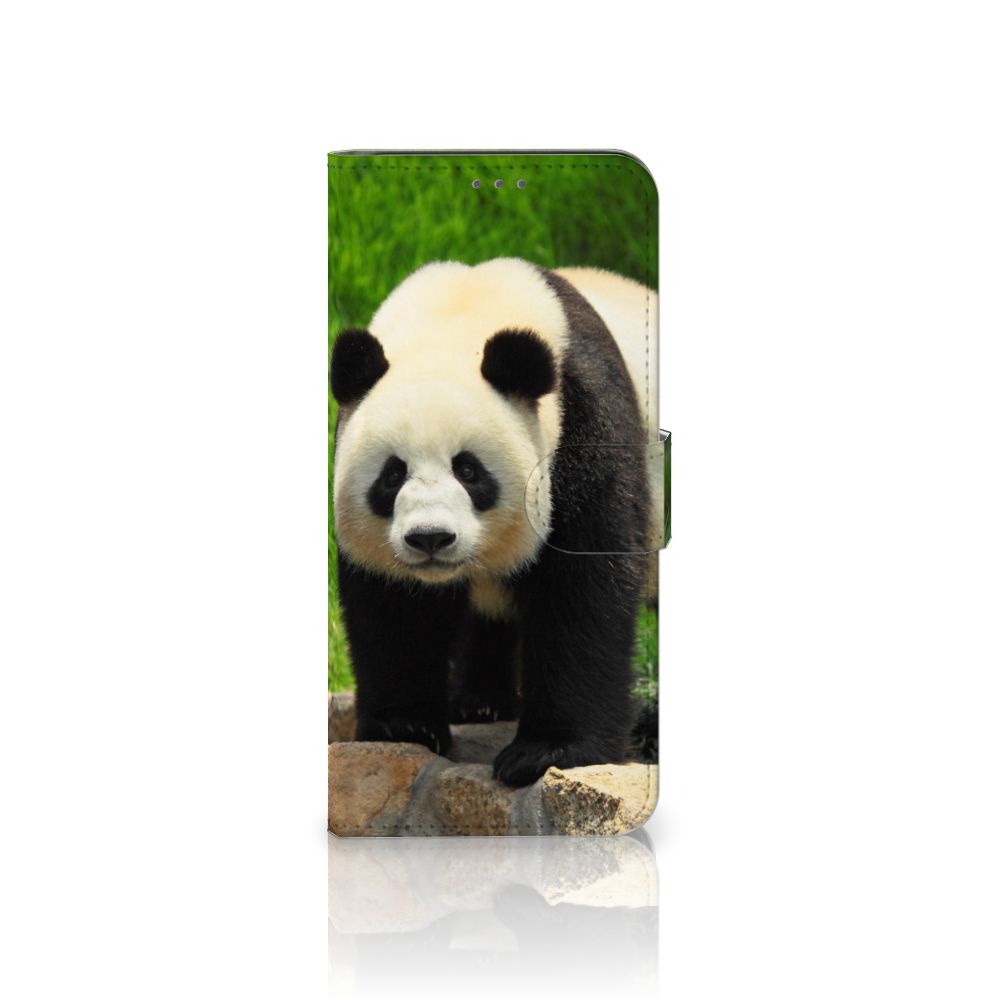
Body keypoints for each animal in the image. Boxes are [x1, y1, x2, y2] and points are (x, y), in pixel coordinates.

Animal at [330, 258, 660, 787]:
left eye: (468, 470)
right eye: (392, 474)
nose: (430, 538)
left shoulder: (584, 424)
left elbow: (583, 589)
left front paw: (546, 751)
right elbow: (394, 606)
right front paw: (404, 726)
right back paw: (479, 703)